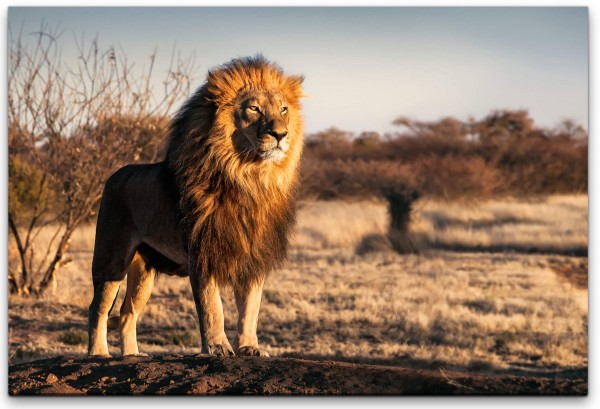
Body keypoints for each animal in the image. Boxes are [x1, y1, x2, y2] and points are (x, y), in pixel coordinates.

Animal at [88, 56, 304, 356]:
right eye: (253, 108)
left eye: (284, 109)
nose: (281, 134)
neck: (249, 178)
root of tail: (115, 174)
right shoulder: (203, 252)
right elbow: (213, 307)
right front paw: (217, 347)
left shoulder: (253, 257)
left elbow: (250, 308)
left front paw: (250, 347)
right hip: (112, 258)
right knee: (98, 308)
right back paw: (98, 353)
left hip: (144, 270)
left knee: (127, 312)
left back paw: (132, 355)